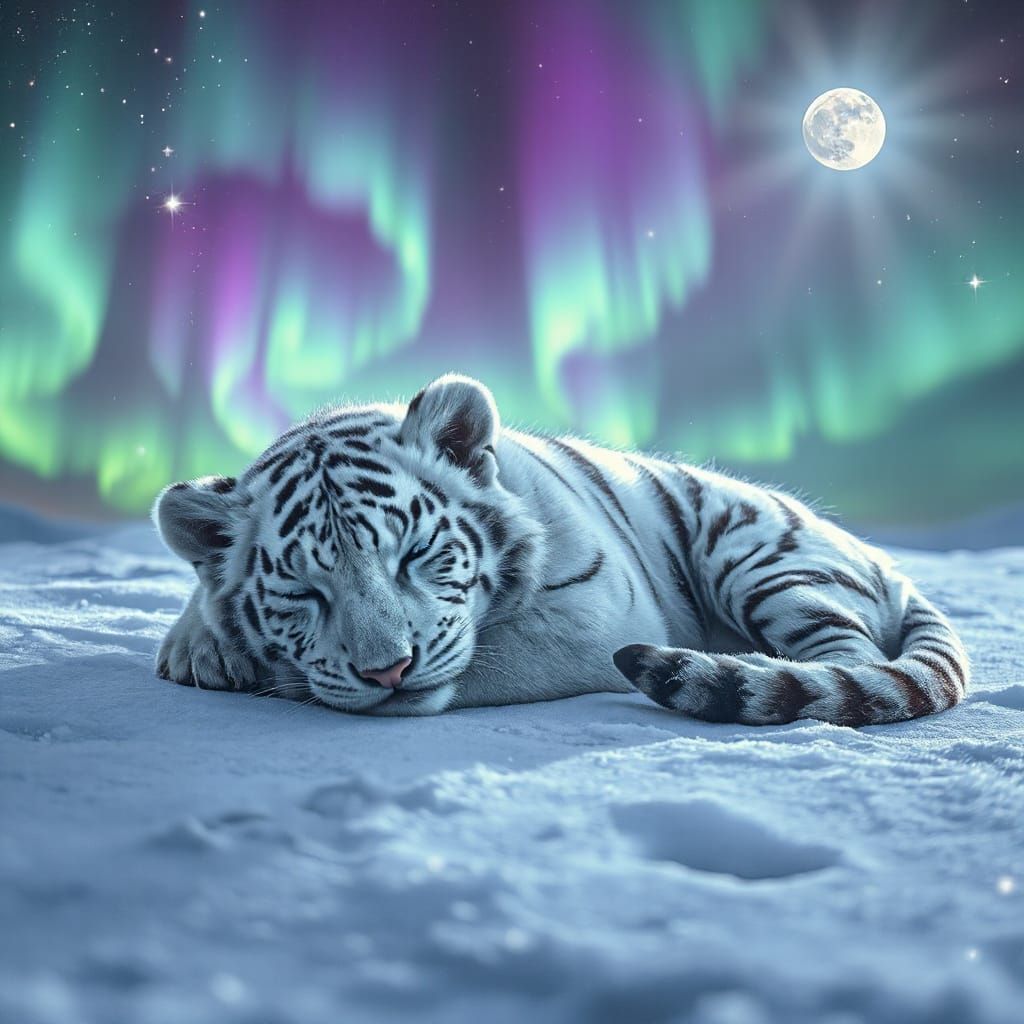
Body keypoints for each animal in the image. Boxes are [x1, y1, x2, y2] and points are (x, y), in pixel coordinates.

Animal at [153, 373, 969, 725]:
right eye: (303, 591)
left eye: (415, 554)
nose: (387, 670)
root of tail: (891, 565)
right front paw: (202, 648)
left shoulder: (594, 619)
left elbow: (483, 658)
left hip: (762, 558)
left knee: (851, 663)